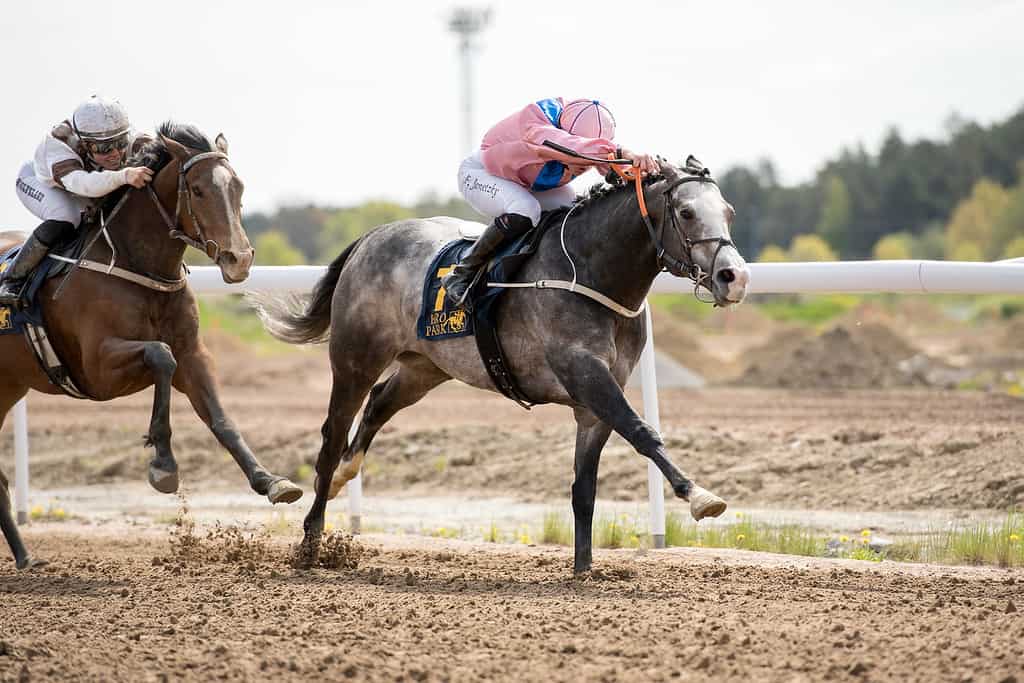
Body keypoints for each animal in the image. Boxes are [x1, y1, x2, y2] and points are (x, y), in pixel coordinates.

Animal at [1, 122, 299, 573]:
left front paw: (271, 480)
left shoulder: (194, 355)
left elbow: (220, 417)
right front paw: (163, 463)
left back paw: (25, 557)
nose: (240, 259)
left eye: (239, 187)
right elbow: (161, 354)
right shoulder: (97, 371)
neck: (139, 265)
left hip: (9, 387)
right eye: (198, 190)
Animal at [253, 158, 753, 573]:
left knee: (377, 406)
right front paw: (701, 497)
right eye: (686, 213)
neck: (590, 273)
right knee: (332, 436)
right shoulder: (586, 374)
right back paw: (311, 541)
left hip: (426, 366)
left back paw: (344, 476)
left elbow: (584, 487)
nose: (736, 277)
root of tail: (371, 237)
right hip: (356, 359)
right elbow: (642, 432)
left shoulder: (591, 402)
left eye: (729, 211)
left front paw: (584, 569)